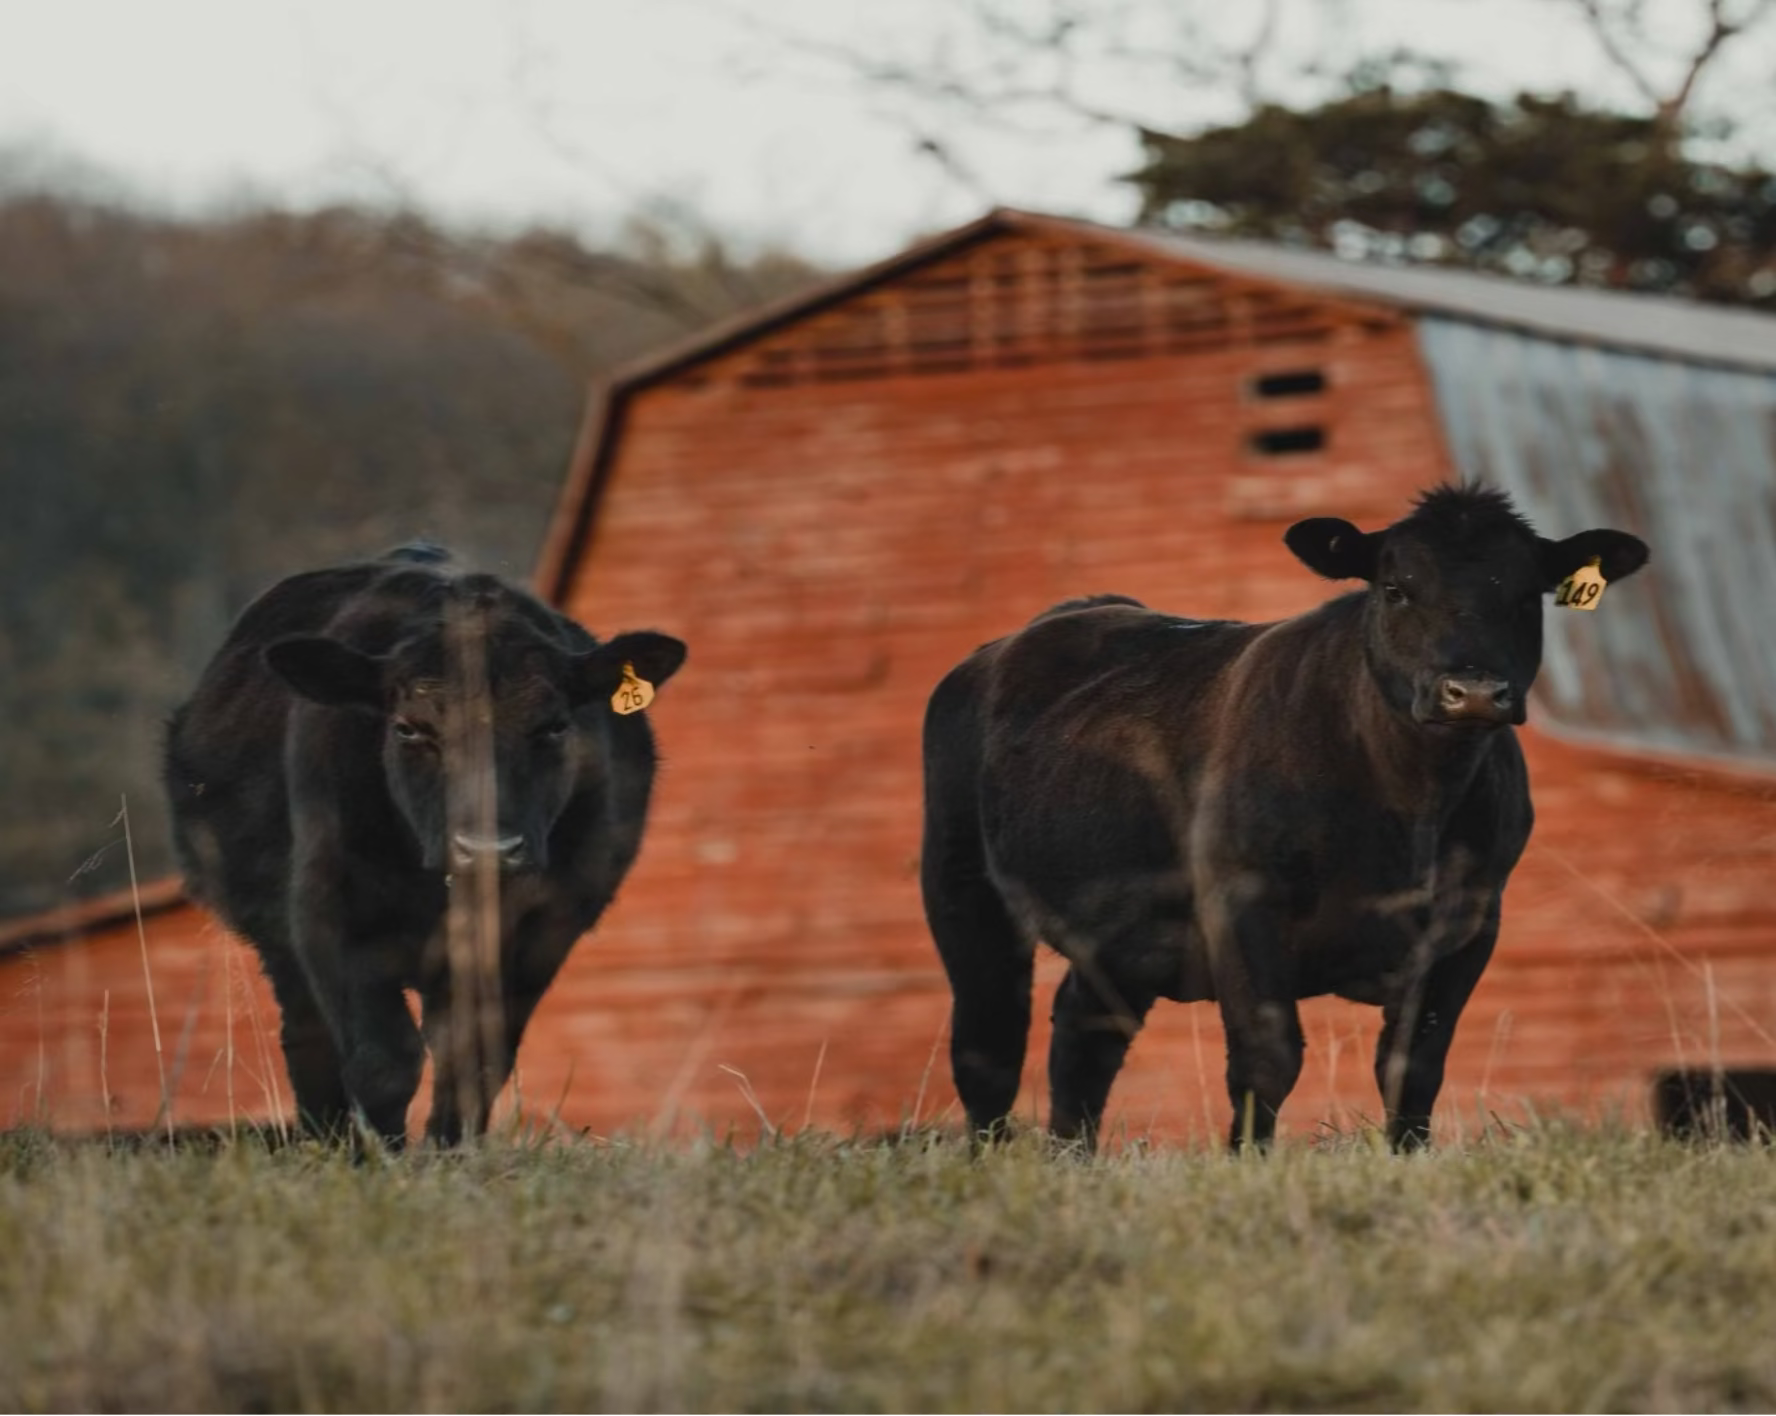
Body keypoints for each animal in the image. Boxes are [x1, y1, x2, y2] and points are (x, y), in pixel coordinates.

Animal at [163, 543, 686, 1146]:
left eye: (554, 727)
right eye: (409, 729)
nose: (487, 849)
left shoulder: (539, 933)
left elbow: (475, 1057)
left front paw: (449, 1152)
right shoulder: (330, 918)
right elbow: (384, 1060)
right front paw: (380, 1155)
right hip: (278, 937)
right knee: (308, 1038)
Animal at [920, 484, 1648, 1152]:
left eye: (1528, 595)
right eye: (1395, 588)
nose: (1471, 692)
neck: (1410, 811)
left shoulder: (1471, 921)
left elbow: (1414, 1068)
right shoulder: (1242, 901)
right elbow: (1268, 1060)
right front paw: (1248, 1164)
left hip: (1117, 933)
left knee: (1083, 1034)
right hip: (962, 889)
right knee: (987, 1046)